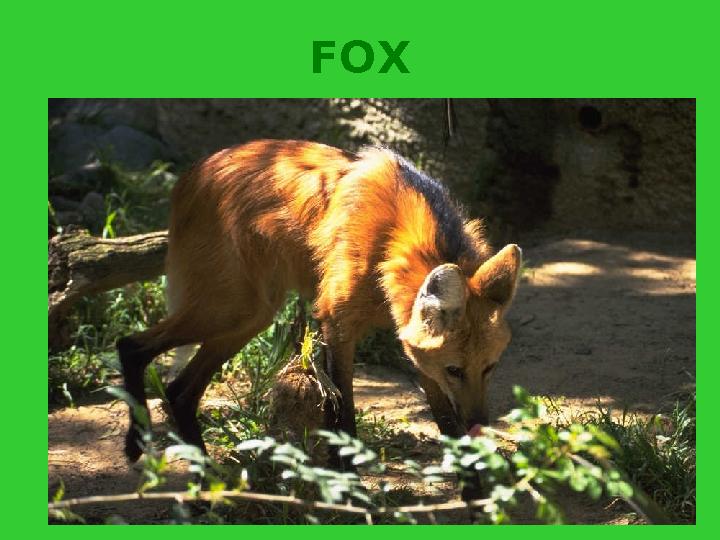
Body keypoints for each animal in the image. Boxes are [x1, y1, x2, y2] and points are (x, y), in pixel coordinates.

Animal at [117, 139, 521, 465]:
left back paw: (209, 482)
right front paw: (348, 486)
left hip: (251, 316)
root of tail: (192, 173)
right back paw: (138, 445)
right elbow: (343, 415)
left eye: (489, 368)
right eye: (456, 370)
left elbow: (445, 422)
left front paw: (476, 493)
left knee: (179, 392)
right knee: (131, 346)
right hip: (232, 308)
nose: (480, 422)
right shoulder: (336, 324)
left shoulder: (413, 341)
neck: (390, 239)